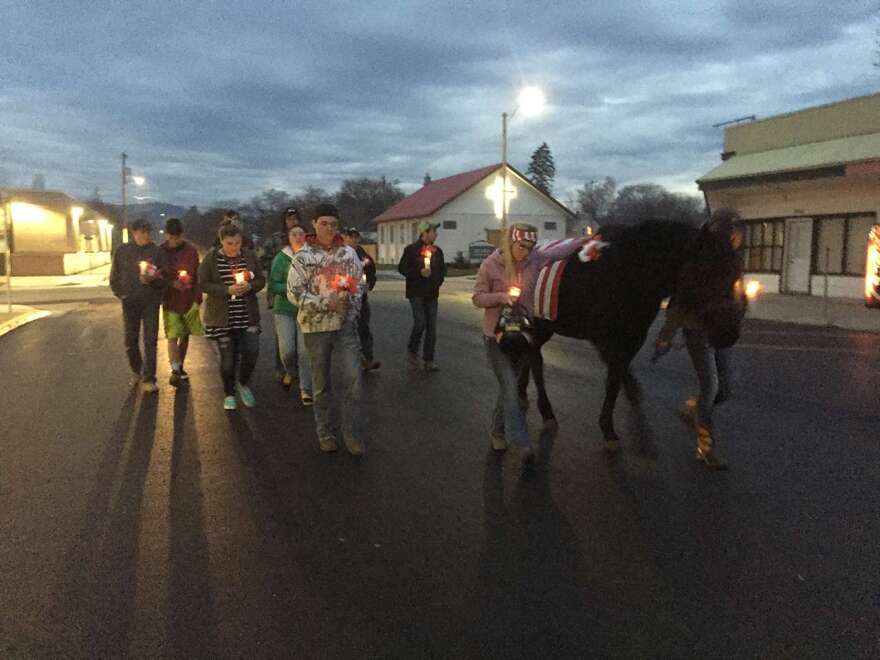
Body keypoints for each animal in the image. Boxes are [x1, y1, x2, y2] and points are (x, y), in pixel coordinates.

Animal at [520, 219, 744, 452]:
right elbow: (615, 382)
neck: (628, 272)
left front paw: (640, 432)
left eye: (734, 273)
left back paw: (522, 393)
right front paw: (609, 429)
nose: (729, 333)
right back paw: (546, 410)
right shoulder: (605, 341)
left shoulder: (633, 339)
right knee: (536, 361)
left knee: (529, 355)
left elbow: (628, 384)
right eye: (705, 271)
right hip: (539, 325)